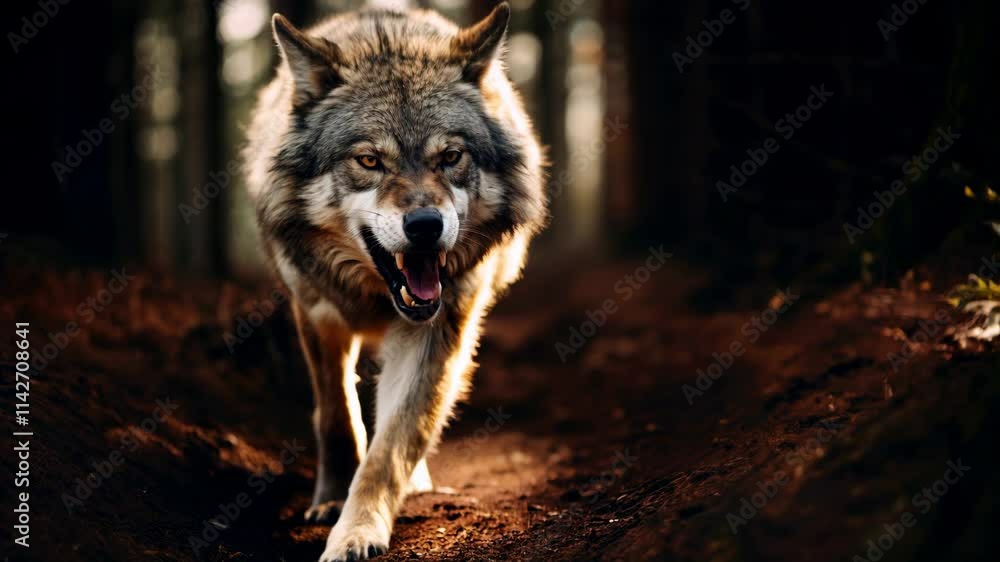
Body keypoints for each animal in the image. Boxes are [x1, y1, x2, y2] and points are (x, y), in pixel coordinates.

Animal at [242, 3, 547, 560]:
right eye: (369, 160)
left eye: (450, 157)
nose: (425, 225)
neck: (376, 296)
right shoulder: (315, 313)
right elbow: (336, 415)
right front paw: (331, 499)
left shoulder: (439, 329)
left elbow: (393, 444)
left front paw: (358, 529)